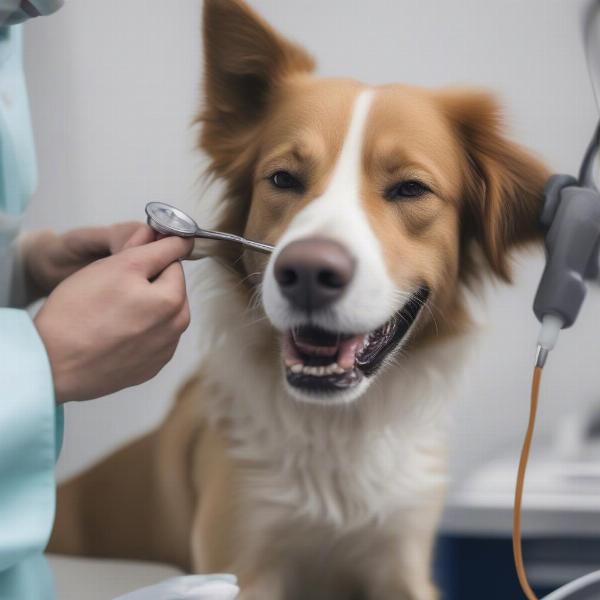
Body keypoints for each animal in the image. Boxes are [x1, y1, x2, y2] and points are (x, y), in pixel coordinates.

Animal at [49, 2, 552, 596]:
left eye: (410, 189)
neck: (336, 430)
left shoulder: (403, 558)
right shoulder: (243, 559)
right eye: (283, 179)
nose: (309, 272)